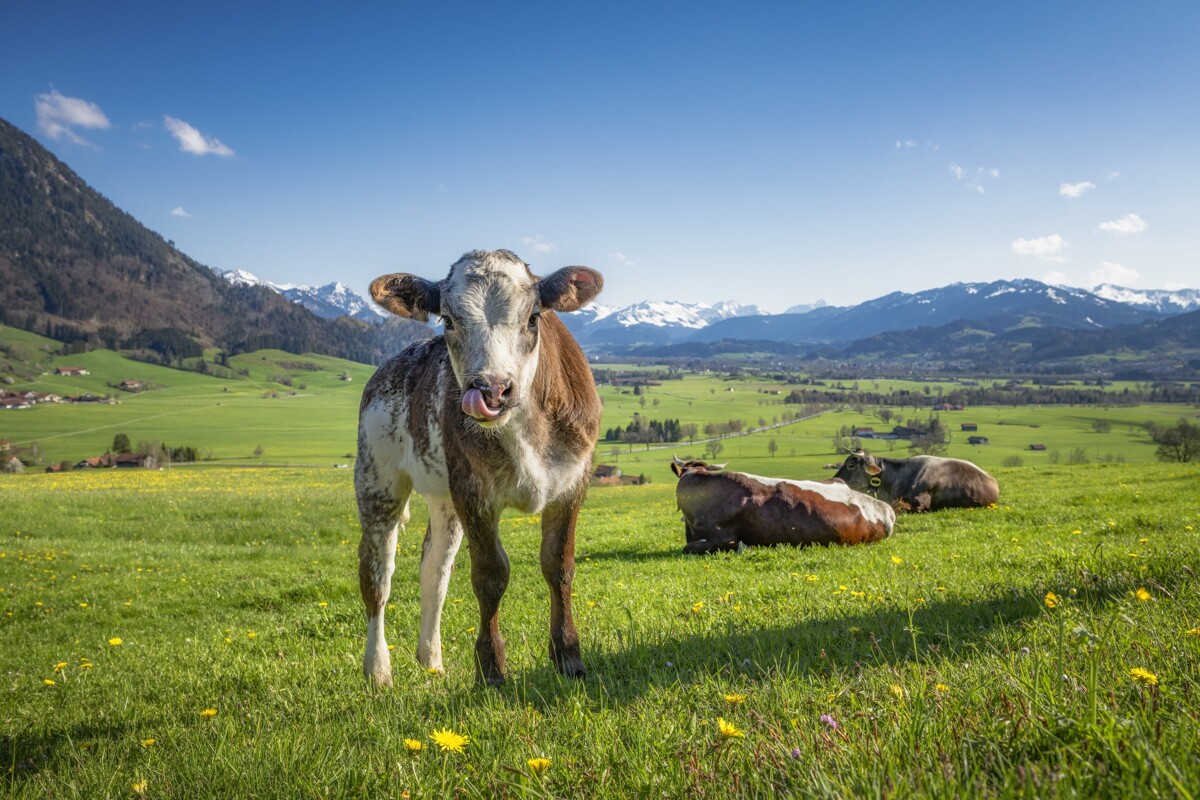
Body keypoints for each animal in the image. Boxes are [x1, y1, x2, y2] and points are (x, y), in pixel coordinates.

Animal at [356, 249, 604, 688]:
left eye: (533, 317)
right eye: (448, 320)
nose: (491, 389)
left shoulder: (573, 483)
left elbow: (559, 566)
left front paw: (568, 657)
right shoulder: (474, 492)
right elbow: (490, 576)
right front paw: (491, 668)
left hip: (444, 498)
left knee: (434, 572)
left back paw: (431, 659)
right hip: (377, 480)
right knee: (376, 576)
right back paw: (378, 669)